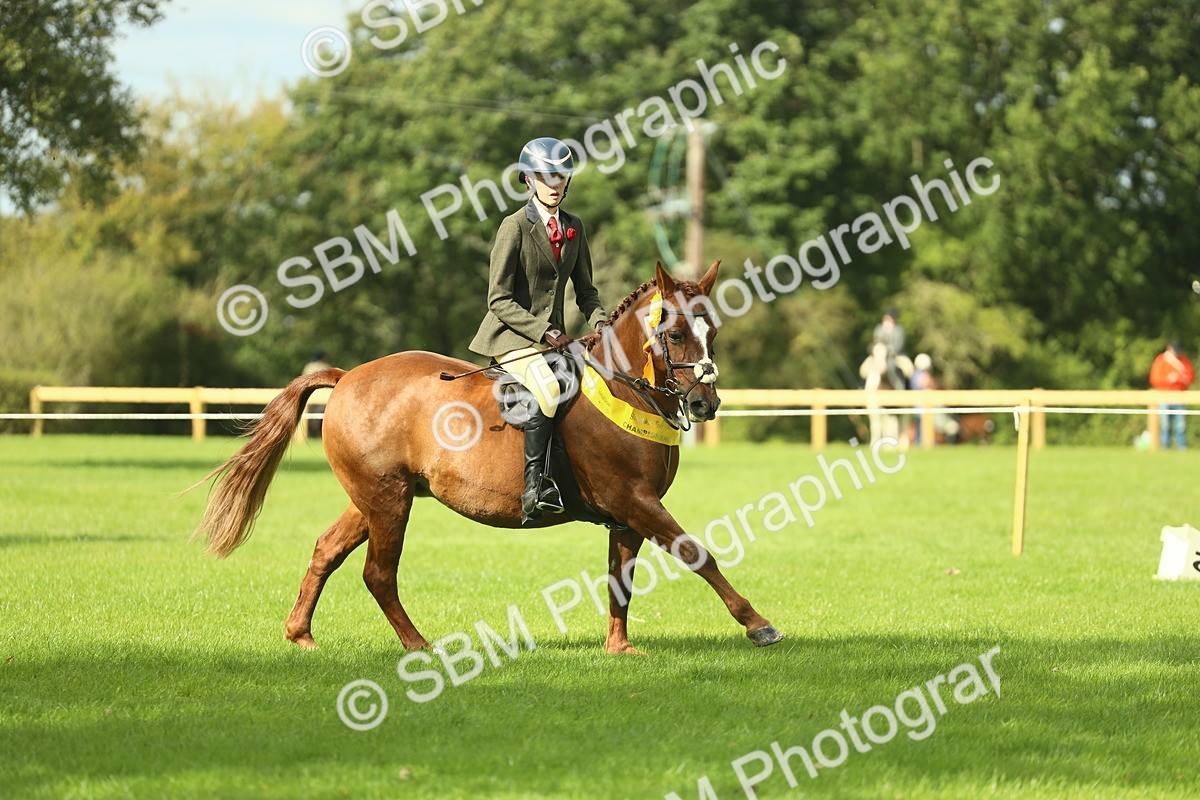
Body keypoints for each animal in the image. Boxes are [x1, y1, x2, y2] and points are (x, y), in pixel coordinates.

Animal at [192, 261, 783, 655]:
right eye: (676, 333)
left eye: (714, 331)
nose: (706, 404)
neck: (625, 387)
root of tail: (348, 376)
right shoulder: (633, 500)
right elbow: (698, 555)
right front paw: (758, 625)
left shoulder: (629, 512)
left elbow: (621, 578)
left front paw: (618, 647)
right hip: (388, 501)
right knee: (379, 573)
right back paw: (421, 646)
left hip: (376, 497)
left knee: (326, 550)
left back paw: (302, 635)